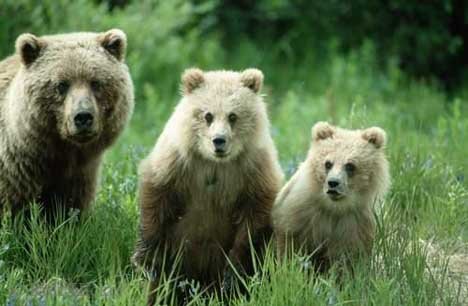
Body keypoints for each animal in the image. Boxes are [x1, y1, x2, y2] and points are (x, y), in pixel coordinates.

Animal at [133, 68, 284, 304]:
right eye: (207, 115)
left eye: (233, 116)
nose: (219, 140)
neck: (215, 164)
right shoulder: (177, 162)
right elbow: (156, 193)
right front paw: (147, 258)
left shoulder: (253, 170)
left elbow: (253, 221)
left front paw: (233, 275)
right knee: (162, 284)